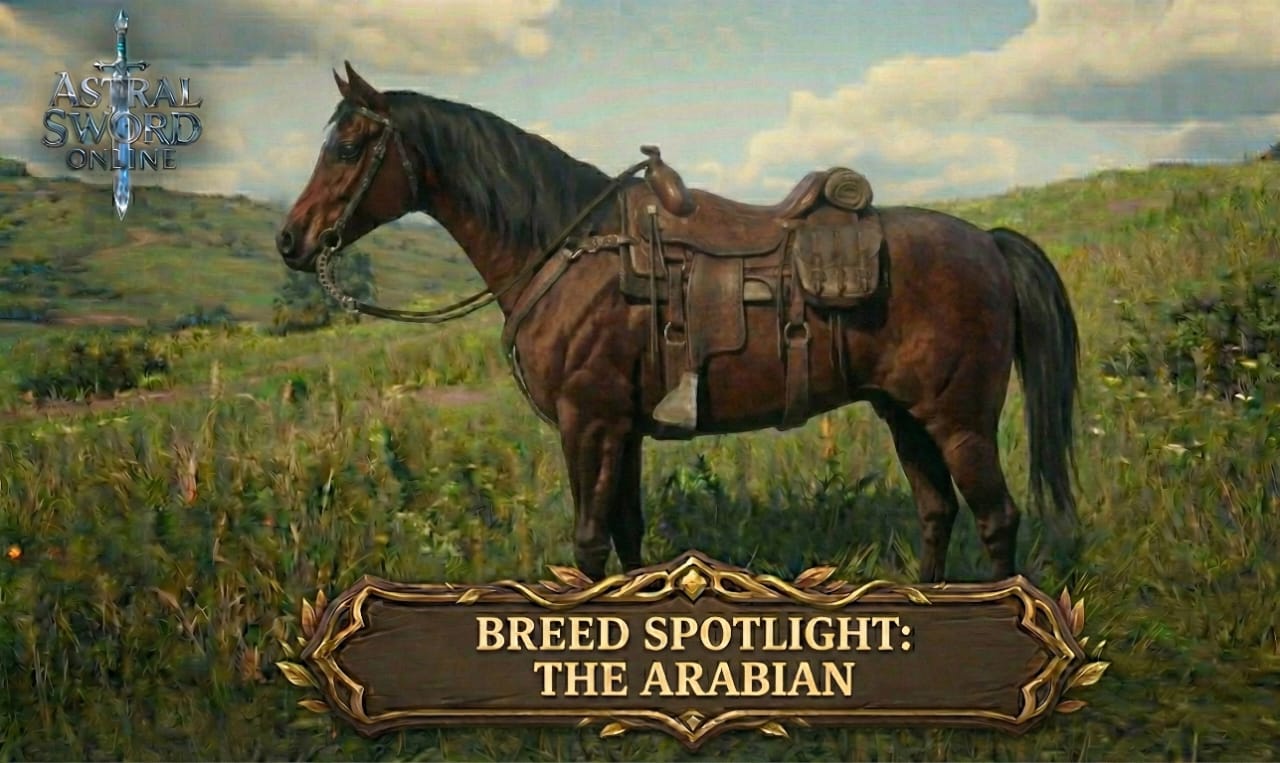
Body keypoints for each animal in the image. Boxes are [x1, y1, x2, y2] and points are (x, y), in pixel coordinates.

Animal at [276, 62, 1080, 584]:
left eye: (347, 146)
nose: (291, 240)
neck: (568, 247)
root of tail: (989, 245)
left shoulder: (589, 421)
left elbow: (590, 541)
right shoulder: (620, 428)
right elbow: (626, 532)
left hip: (959, 419)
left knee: (996, 518)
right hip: (903, 413)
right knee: (937, 510)